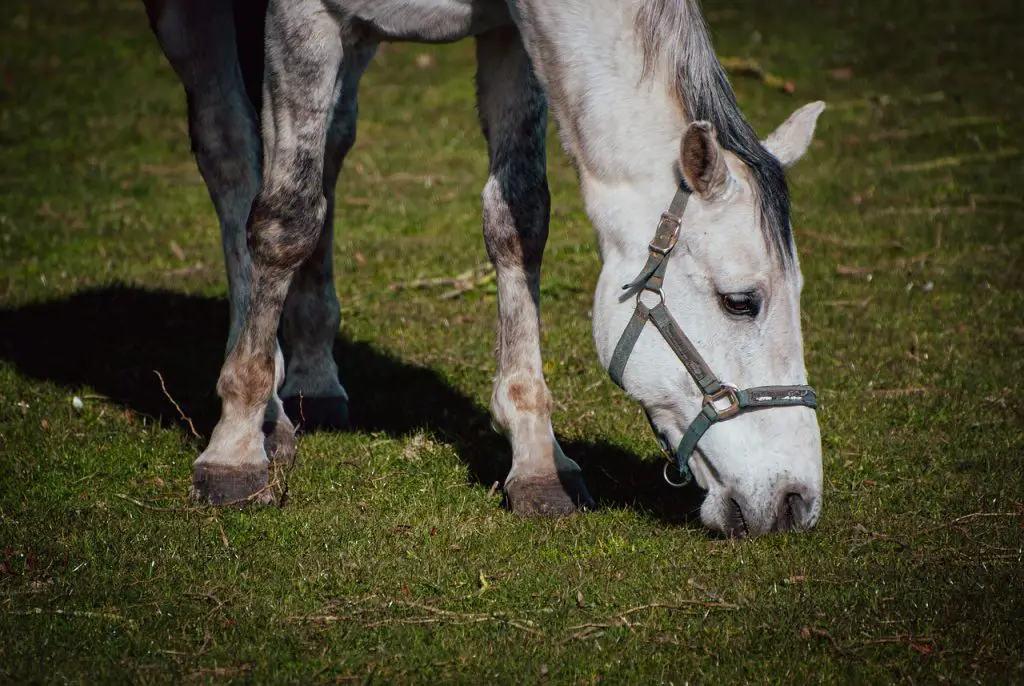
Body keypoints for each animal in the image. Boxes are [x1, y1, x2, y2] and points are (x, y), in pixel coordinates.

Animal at [144, 0, 827, 536]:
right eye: (740, 301)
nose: (797, 502)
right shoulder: (303, 15)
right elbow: (285, 221)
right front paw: (236, 449)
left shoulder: (509, 36)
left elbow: (518, 220)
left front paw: (537, 460)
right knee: (234, 154)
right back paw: (263, 410)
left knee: (329, 148)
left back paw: (311, 375)